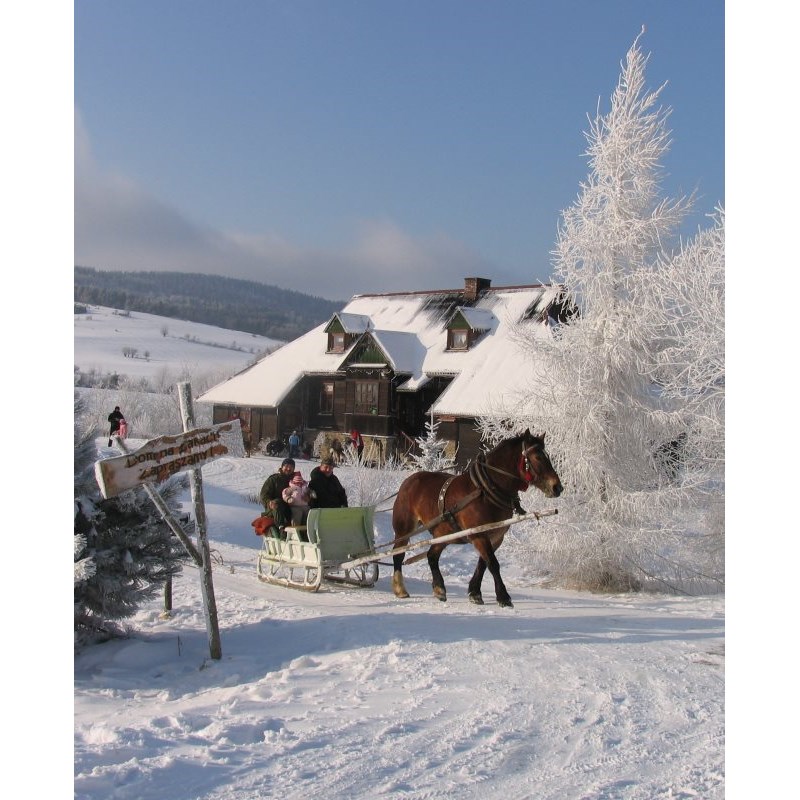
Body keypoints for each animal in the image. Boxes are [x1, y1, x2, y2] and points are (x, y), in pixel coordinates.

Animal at [390, 432, 560, 608]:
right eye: (537, 457)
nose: (557, 487)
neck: (486, 490)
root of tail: (408, 481)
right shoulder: (479, 535)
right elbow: (493, 564)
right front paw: (503, 597)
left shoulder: (495, 537)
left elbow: (483, 563)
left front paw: (475, 593)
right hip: (404, 529)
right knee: (398, 555)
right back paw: (400, 589)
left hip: (443, 534)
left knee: (432, 556)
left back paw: (439, 589)